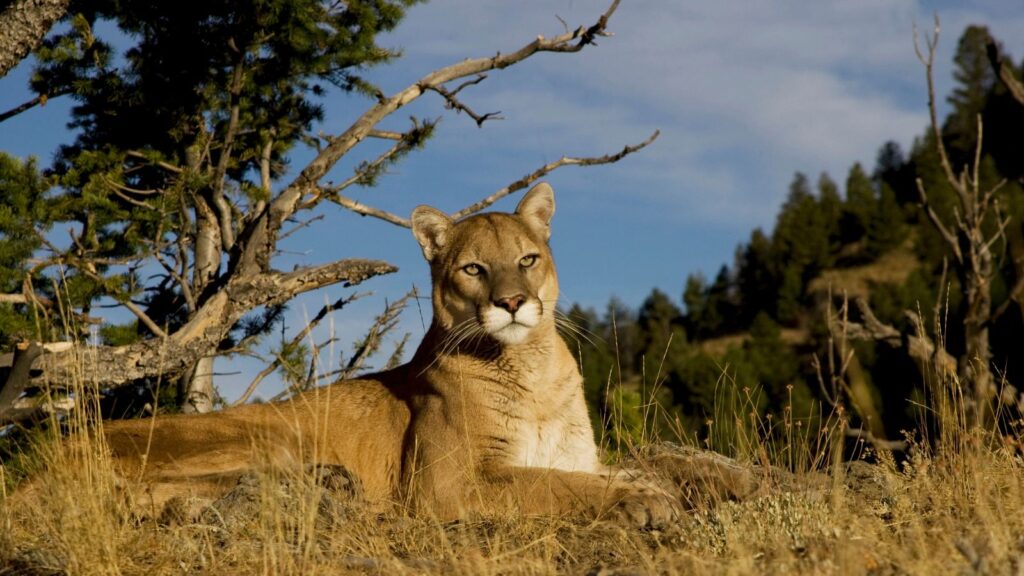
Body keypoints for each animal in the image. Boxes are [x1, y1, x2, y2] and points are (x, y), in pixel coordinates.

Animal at [97, 181, 679, 528]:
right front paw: (644, 501)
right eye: (473, 269)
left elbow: (603, 472)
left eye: (528, 259)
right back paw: (327, 483)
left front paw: (656, 486)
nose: (512, 302)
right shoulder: (449, 483)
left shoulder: (577, 456)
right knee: (157, 489)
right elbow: (551, 484)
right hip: (268, 432)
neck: (530, 370)